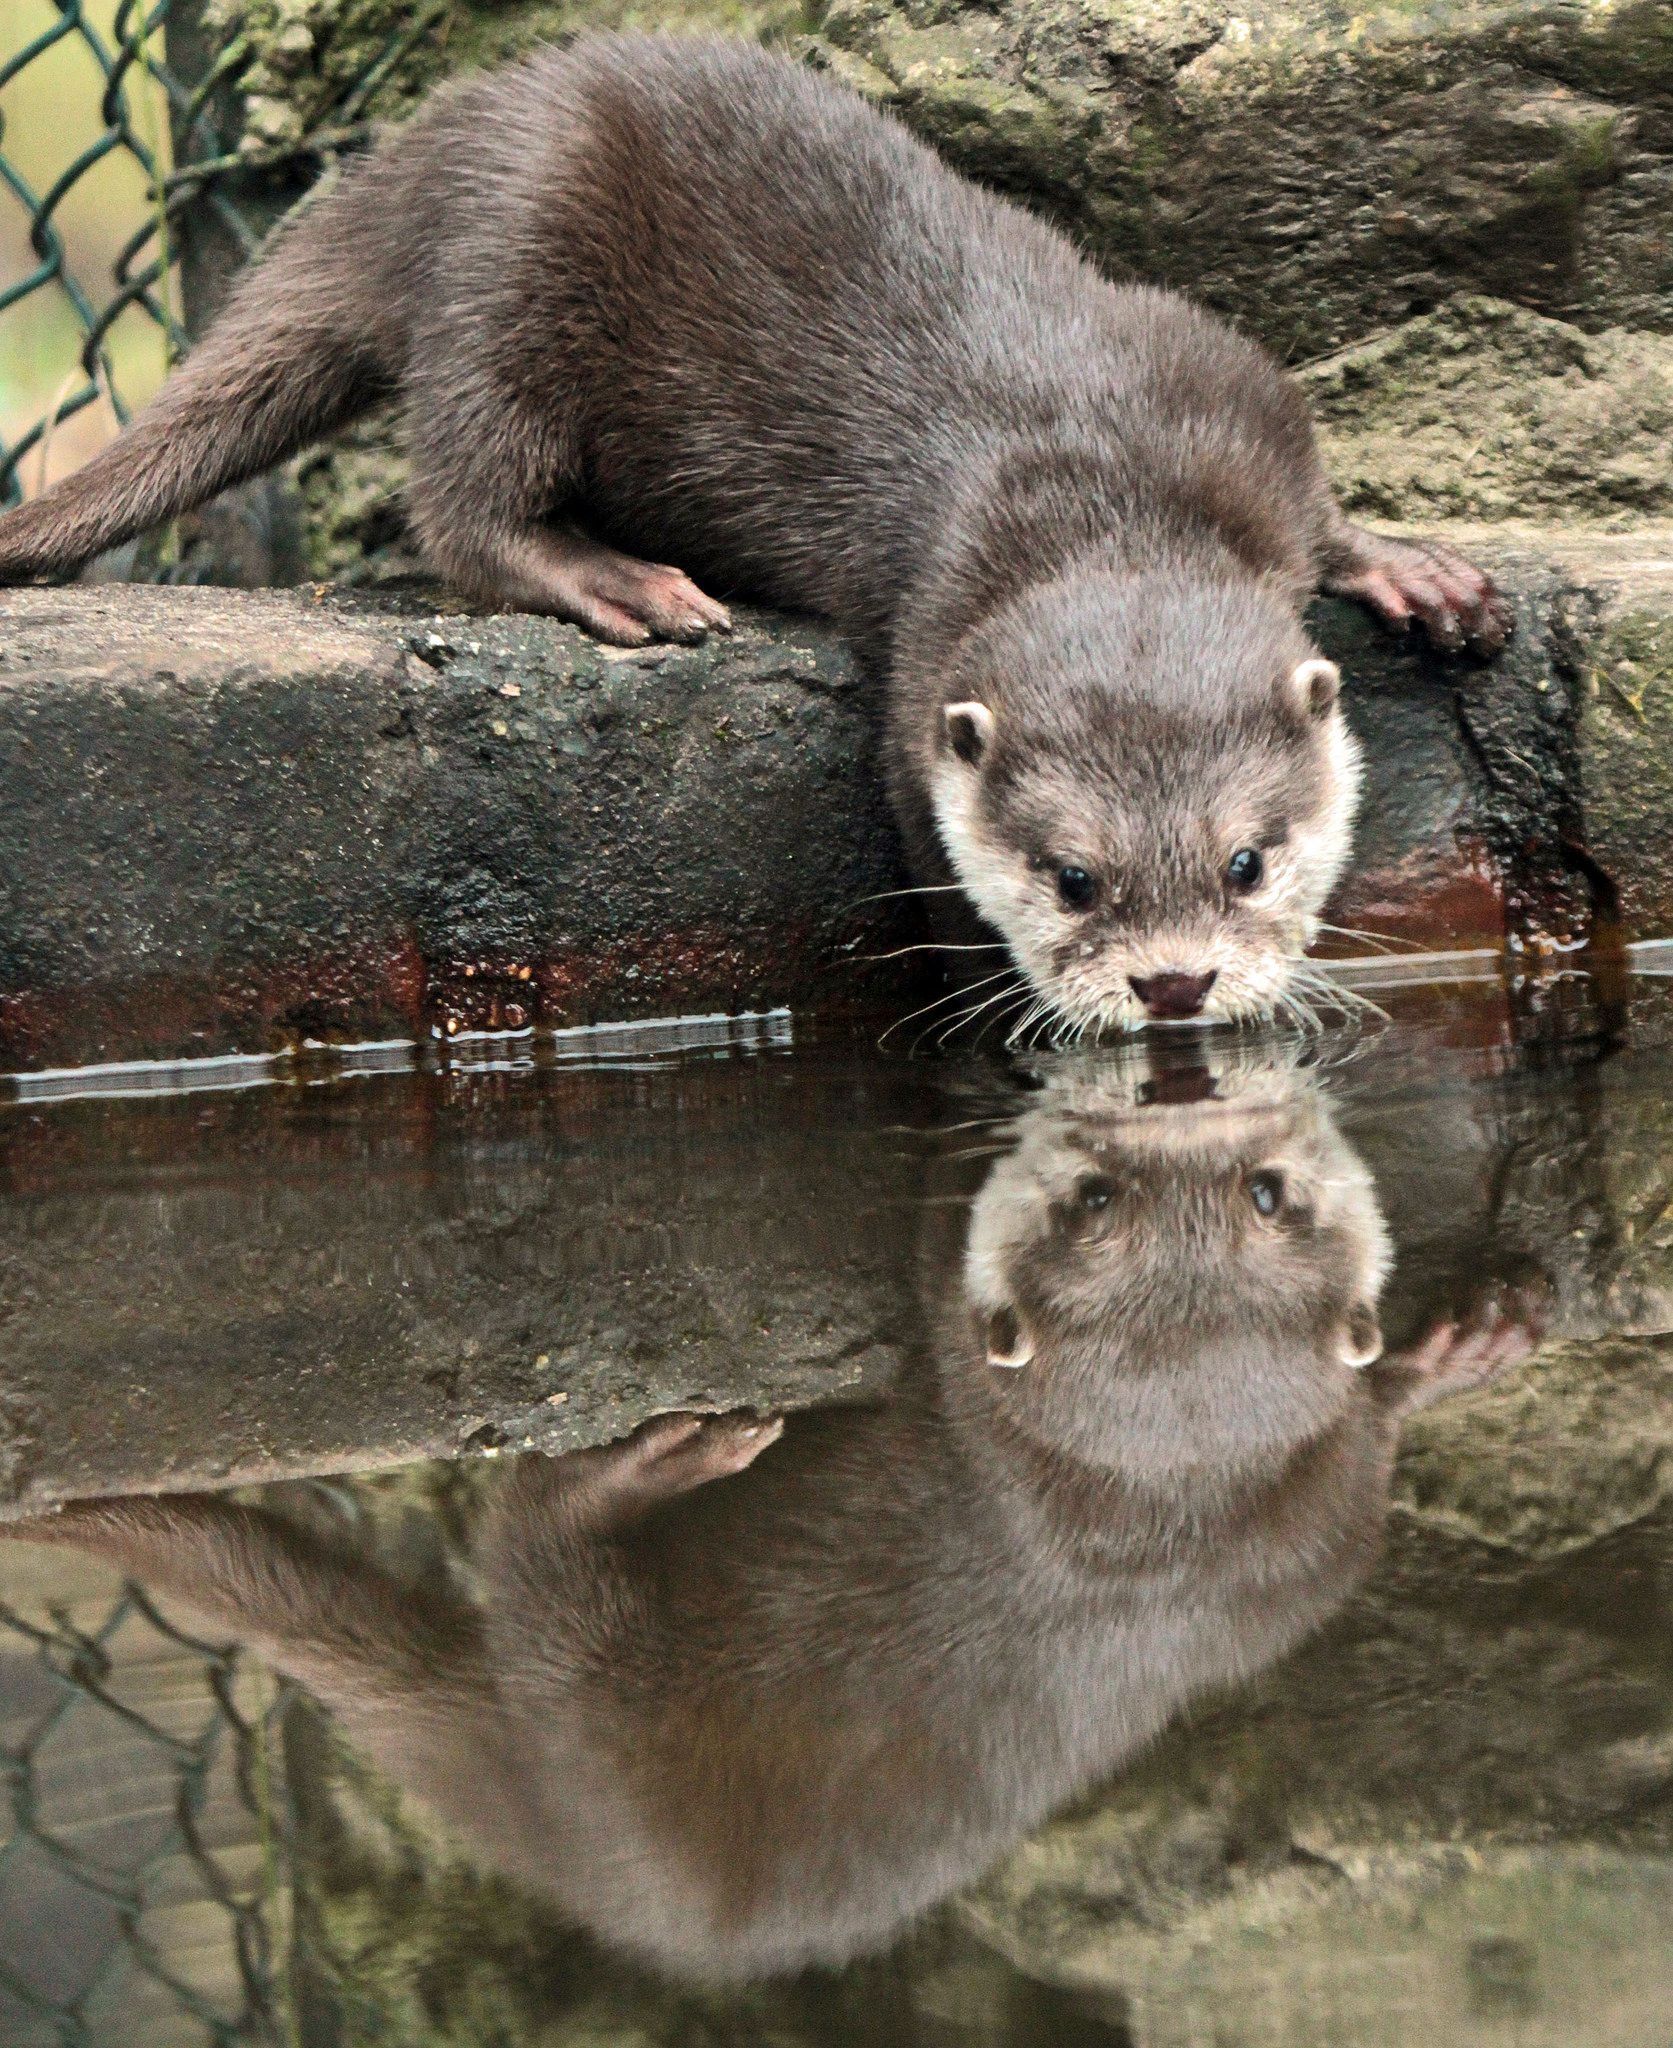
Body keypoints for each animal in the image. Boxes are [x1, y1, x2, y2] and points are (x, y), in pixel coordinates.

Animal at [0, 32, 1507, 1024]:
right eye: (1072, 877)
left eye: (1247, 859)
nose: (1175, 981)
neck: (1103, 473)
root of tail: (436, 144)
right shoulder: (923, 642)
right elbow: (931, 871)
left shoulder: (1223, 386)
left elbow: (1317, 510)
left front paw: (1409, 570)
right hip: (511, 270)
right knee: (462, 494)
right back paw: (615, 581)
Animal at [3, 1048, 1539, 1974]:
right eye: (1095, 1198)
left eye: (1269, 1195)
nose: (1197, 1125)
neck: (1158, 1515)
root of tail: (574, 1855)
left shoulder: (1295, 1540)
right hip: (617, 1733)